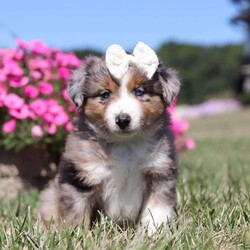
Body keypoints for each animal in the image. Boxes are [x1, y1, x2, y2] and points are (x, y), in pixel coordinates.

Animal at [38, 41, 180, 232]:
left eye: (140, 92)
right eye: (104, 94)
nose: (123, 120)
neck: (126, 144)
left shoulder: (159, 172)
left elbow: (157, 210)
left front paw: (154, 233)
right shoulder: (79, 177)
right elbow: (77, 213)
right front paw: (77, 235)